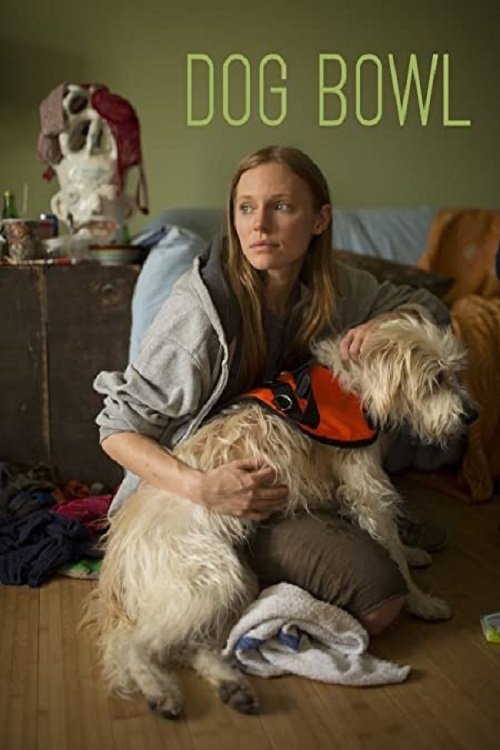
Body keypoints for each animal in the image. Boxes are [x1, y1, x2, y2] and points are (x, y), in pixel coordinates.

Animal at [83, 314, 476, 720]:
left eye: (454, 373)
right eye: (435, 379)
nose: (472, 415)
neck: (354, 385)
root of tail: (116, 561)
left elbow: (390, 536)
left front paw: (413, 553)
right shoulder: (366, 483)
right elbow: (390, 548)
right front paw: (420, 600)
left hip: (236, 581)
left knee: (191, 645)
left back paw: (232, 686)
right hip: (208, 579)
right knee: (132, 644)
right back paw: (161, 691)